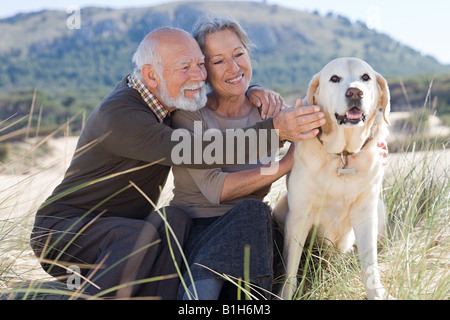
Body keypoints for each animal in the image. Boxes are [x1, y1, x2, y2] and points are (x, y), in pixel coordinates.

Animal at [272, 57, 392, 300]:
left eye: (366, 77)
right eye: (334, 78)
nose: (355, 92)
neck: (343, 155)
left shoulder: (366, 213)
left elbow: (370, 265)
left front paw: (376, 293)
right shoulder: (298, 216)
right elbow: (290, 270)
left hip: (378, 209)